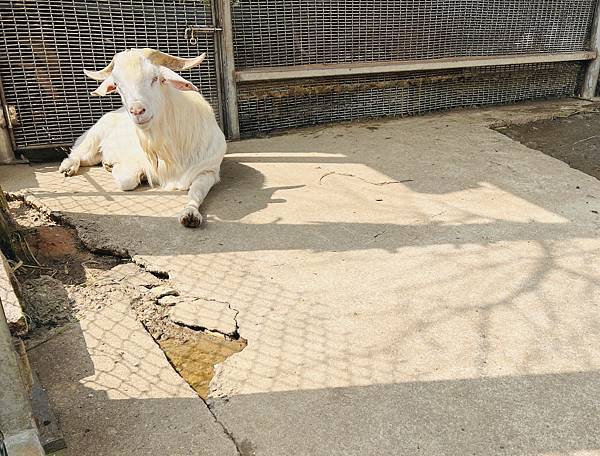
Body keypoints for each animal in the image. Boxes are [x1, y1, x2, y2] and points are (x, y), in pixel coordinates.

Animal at [59, 48, 226, 228]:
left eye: (156, 78)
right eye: (117, 85)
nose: (137, 111)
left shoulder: (208, 170)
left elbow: (196, 191)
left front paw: (190, 214)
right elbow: (126, 181)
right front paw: (137, 174)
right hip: (93, 138)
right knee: (77, 153)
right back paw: (68, 167)